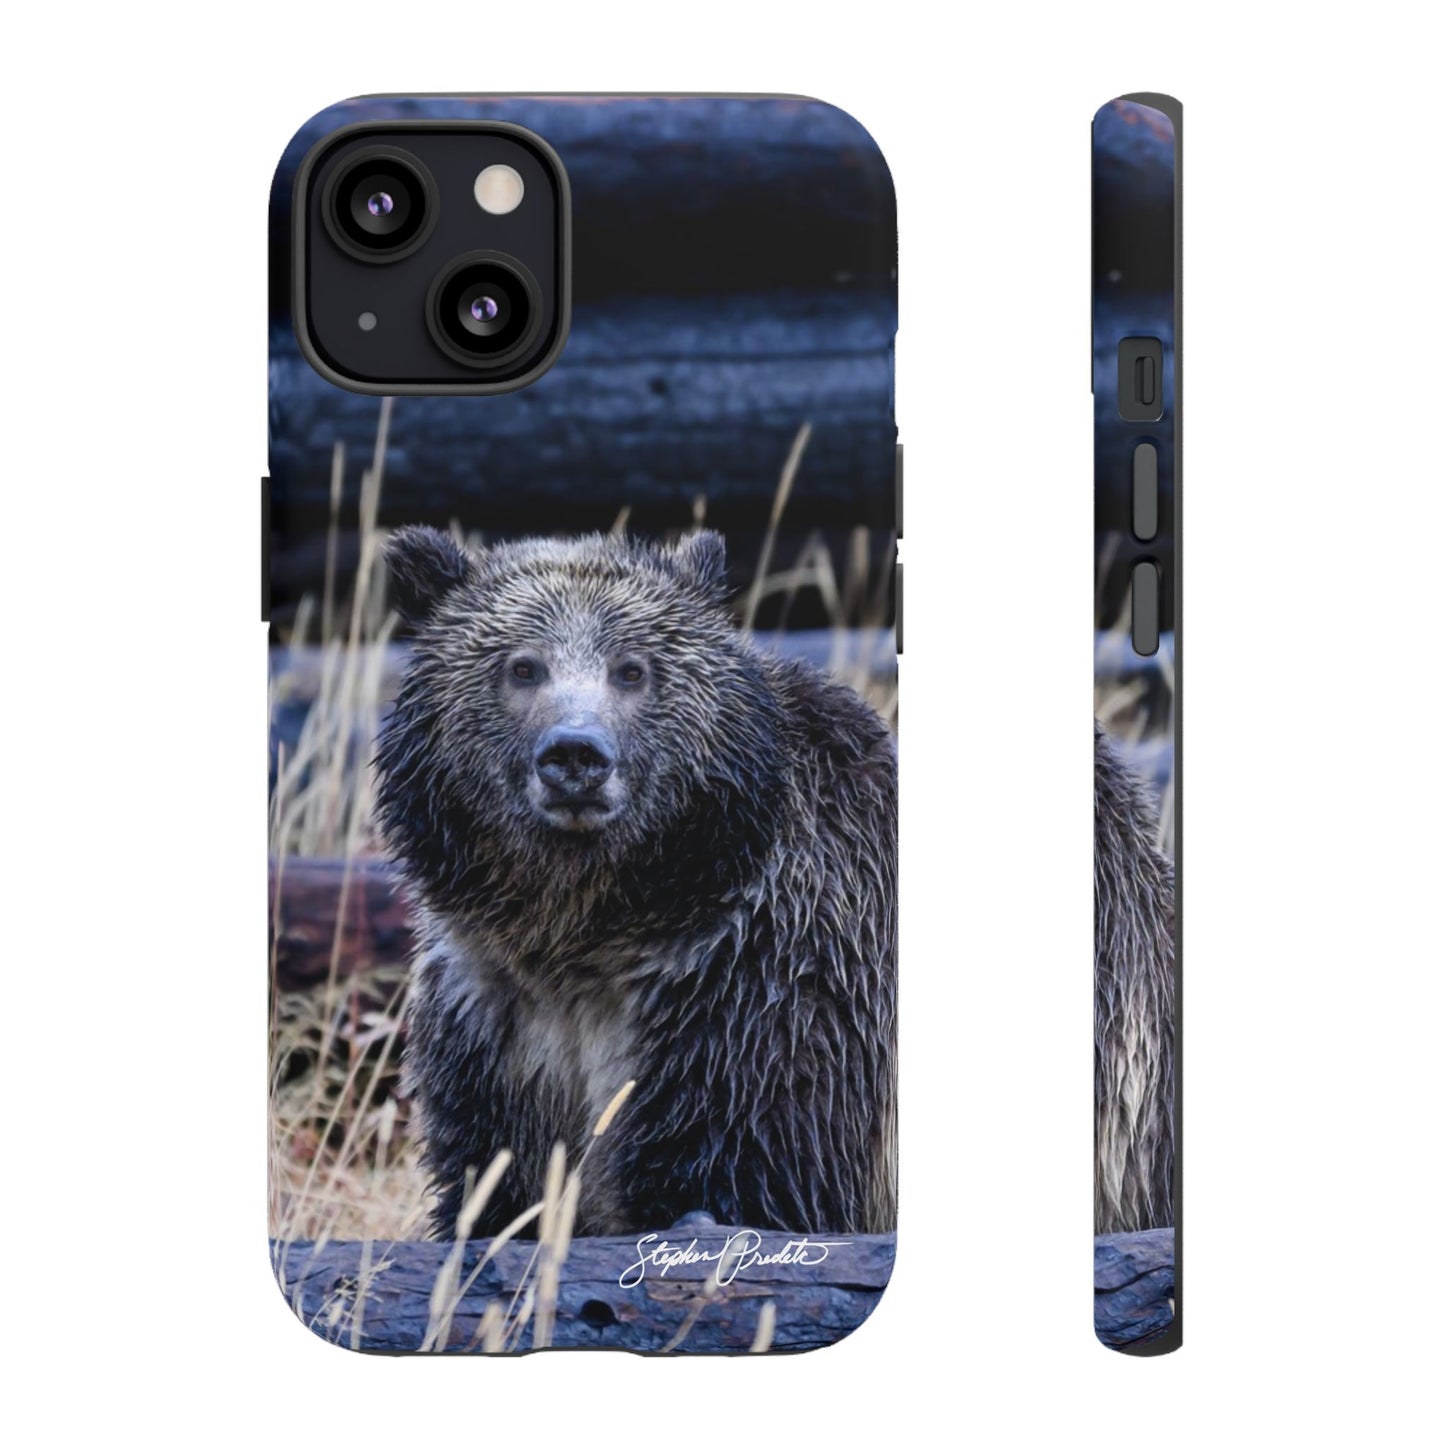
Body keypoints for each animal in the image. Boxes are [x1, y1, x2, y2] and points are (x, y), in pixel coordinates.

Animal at [375, 526, 898, 1241]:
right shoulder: (492, 1016)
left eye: (632, 669)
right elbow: (492, 1183)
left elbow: (751, 1173)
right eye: (522, 666)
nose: (575, 755)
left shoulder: (763, 994)